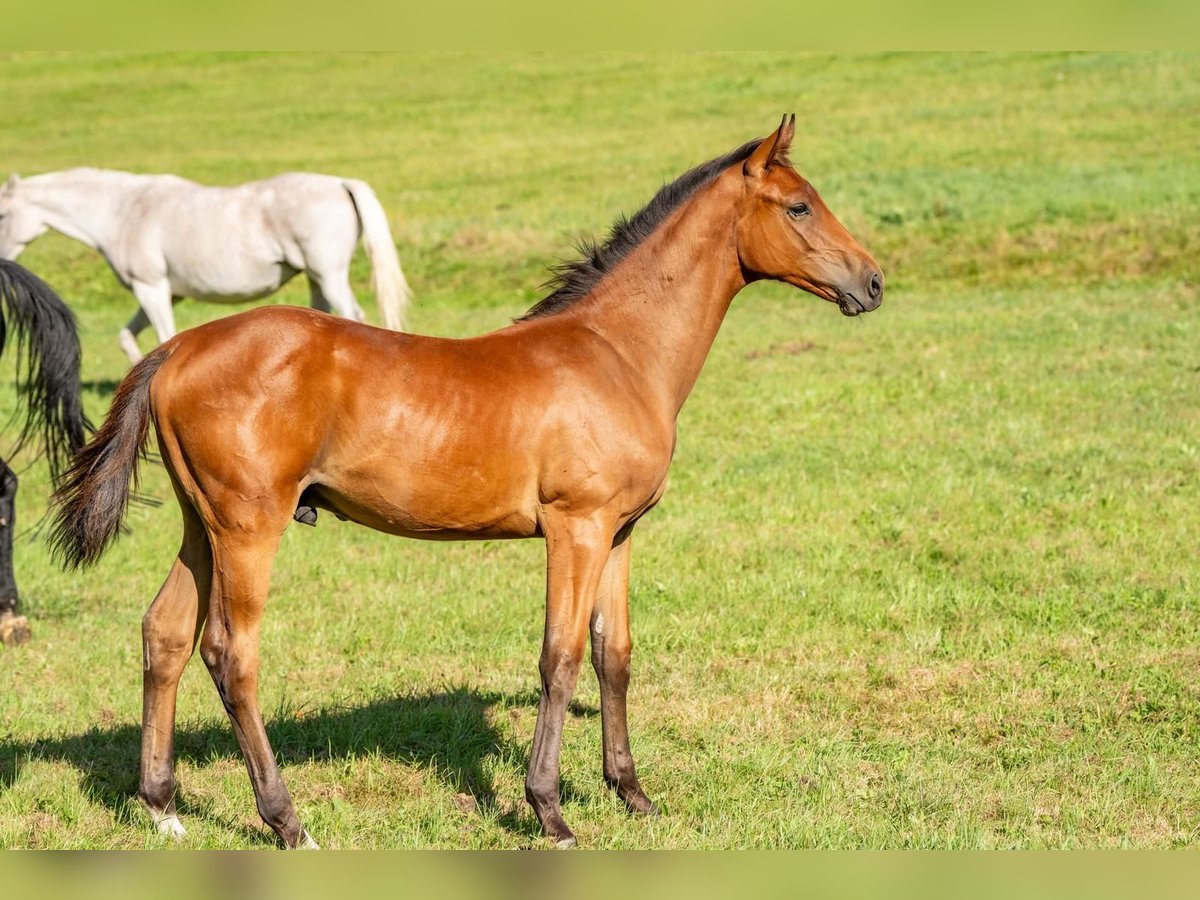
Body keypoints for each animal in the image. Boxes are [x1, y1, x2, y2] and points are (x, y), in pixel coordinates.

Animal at [0, 168, 412, 364]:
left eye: (2, 214)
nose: (3, 260)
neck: (125, 211)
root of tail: (340, 184)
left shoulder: (152, 288)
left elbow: (163, 337)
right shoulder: (166, 294)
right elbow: (127, 337)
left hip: (329, 276)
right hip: (316, 280)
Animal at [46, 116, 883, 849]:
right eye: (799, 205)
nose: (872, 283)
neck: (618, 352)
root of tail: (179, 347)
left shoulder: (619, 531)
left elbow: (613, 654)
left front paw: (633, 794)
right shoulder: (575, 528)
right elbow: (560, 657)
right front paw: (549, 811)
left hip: (203, 525)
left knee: (164, 632)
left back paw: (163, 808)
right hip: (249, 526)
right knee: (230, 653)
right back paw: (288, 822)